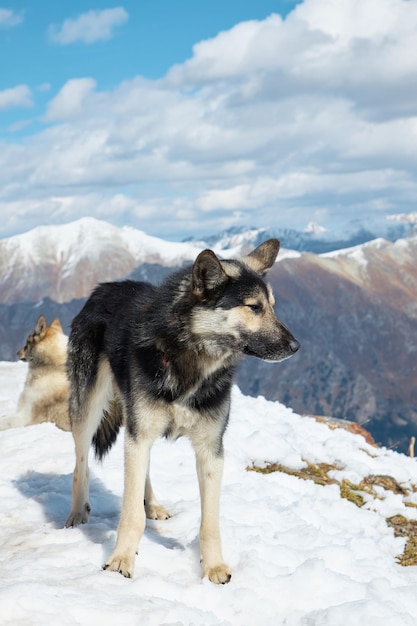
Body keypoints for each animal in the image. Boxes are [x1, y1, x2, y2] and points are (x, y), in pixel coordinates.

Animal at [64, 239, 300, 580]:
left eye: (272, 306)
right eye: (254, 307)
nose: (296, 346)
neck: (191, 358)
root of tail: (103, 288)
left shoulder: (211, 449)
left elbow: (209, 521)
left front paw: (214, 568)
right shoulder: (139, 433)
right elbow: (130, 513)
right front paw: (121, 560)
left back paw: (152, 504)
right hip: (89, 410)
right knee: (80, 465)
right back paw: (76, 514)